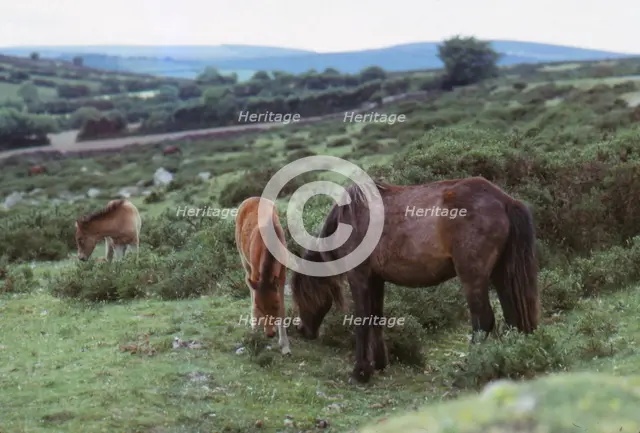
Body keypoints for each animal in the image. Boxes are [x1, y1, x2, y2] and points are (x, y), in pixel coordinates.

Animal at [235, 196, 292, 355]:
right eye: (260, 307)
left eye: (275, 305)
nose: (270, 334)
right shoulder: (255, 272)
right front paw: (254, 331)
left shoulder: (282, 274)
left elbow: (284, 309)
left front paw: (285, 345)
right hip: (243, 258)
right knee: (248, 283)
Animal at [290, 176, 540, 383]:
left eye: (303, 294)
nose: (303, 331)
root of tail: (505, 201)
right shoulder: (376, 279)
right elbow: (375, 318)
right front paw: (379, 364)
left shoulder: (359, 277)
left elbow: (362, 321)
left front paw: (360, 372)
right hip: (501, 275)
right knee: (511, 317)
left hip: (474, 277)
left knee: (483, 321)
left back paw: (467, 369)